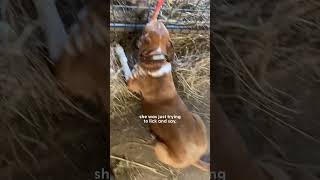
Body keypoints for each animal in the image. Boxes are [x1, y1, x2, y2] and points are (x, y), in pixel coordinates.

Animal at [118, 19, 210, 171]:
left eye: (145, 30)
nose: (156, 18)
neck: (157, 56)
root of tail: (195, 159)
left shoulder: (131, 83)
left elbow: (125, 62)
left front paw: (118, 49)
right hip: (197, 117)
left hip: (159, 148)